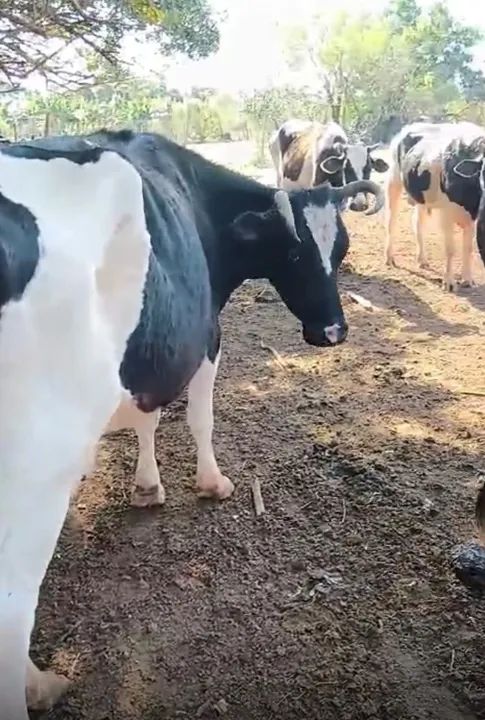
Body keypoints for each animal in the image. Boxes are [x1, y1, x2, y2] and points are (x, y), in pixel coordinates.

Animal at [0, 129, 384, 719]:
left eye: (340, 250)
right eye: (294, 251)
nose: (333, 332)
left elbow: (148, 418)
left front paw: (146, 486)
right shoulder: (205, 333)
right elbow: (199, 418)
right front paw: (211, 483)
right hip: (36, 475)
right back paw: (36, 687)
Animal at [384, 120, 485, 291]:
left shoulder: (473, 214)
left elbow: (468, 248)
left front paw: (467, 279)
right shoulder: (446, 211)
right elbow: (450, 248)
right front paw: (449, 282)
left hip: (421, 197)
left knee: (417, 223)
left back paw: (422, 259)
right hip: (394, 179)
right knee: (392, 220)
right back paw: (389, 257)